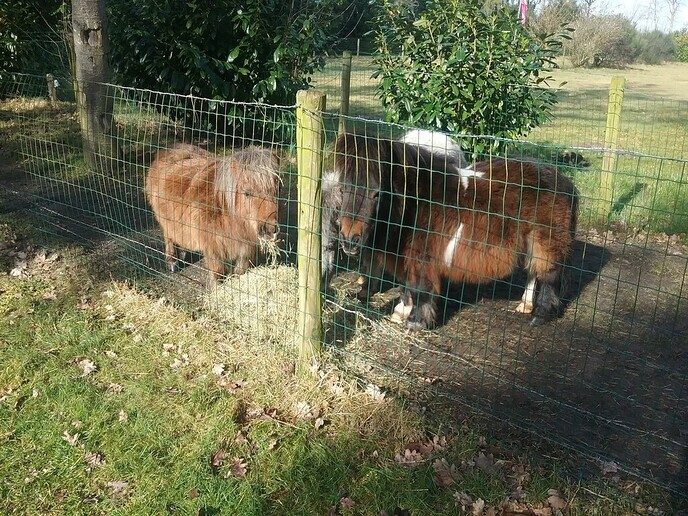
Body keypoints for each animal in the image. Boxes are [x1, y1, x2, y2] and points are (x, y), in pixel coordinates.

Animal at [145, 142, 281, 281]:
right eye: (247, 193)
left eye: (277, 190)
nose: (269, 229)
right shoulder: (213, 250)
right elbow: (218, 274)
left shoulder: (244, 249)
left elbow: (240, 272)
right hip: (164, 220)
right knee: (169, 237)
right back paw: (172, 261)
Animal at [333, 132, 578, 329]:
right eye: (342, 188)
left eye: (377, 193)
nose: (349, 240)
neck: (418, 201)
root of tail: (562, 179)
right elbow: (408, 285)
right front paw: (401, 312)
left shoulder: (422, 257)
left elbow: (420, 288)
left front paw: (417, 322)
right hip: (531, 240)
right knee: (533, 272)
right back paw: (525, 305)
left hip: (546, 241)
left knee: (548, 275)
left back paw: (540, 315)